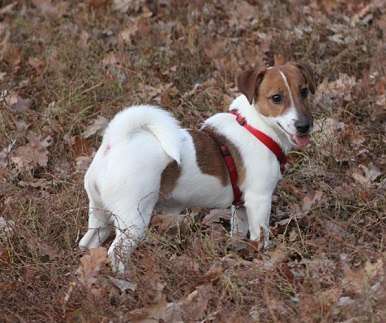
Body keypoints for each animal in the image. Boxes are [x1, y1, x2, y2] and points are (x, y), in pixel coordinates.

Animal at [79, 61, 316, 274]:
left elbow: (238, 234)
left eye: (304, 92)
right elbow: (260, 237)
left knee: (88, 243)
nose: (304, 126)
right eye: (277, 98)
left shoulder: (240, 207)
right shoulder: (259, 200)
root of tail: (115, 142)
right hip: (133, 220)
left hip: (100, 214)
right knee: (116, 252)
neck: (256, 127)